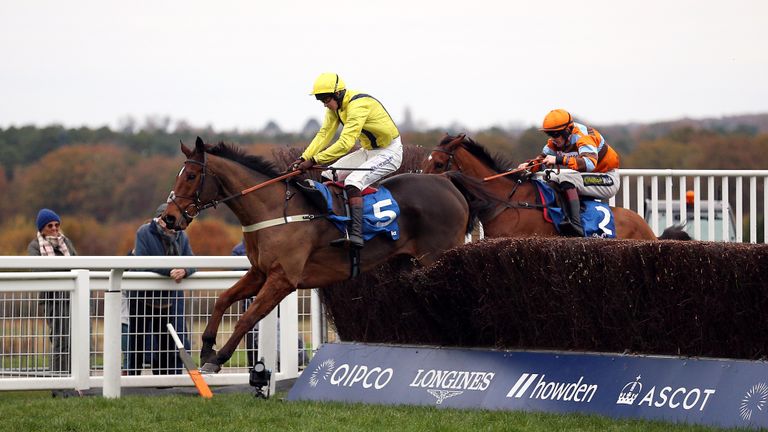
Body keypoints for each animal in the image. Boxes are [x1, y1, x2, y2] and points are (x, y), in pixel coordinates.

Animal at [162, 138, 476, 372]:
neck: (273, 209)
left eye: (191, 176)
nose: (169, 217)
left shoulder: (283, 279)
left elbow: (248, 317)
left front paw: (218, 358)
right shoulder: (260, 272)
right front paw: (206, 348)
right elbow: (223, 300)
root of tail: (447, 181)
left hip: (439, 254)